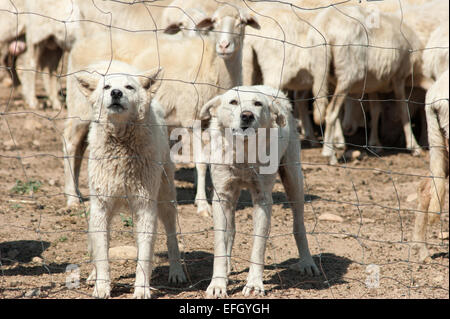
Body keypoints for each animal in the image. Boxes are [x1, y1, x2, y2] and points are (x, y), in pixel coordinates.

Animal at [62, 3, 260, 220]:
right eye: (214, 22)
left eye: (242, 22)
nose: (224, 46)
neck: (212, 64)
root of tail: (79, 45)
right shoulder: (192, 117)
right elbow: (201, 162)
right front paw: (202, 204)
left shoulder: (212, 120)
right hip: (79, 108)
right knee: (70, 144)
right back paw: (71, 198)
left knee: (80, 148)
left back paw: (78, 192)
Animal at [200, 85, 320, 300]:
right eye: (233, 102)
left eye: (257, 104)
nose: (247, 115)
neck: (243, 153)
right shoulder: (222, 196)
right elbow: (220, 244)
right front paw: (218, 284)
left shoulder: (263, 199)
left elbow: (258, 246)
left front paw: (254, 284)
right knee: (231, 230)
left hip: (294, 180)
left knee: (299, 225)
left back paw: (307, 262)